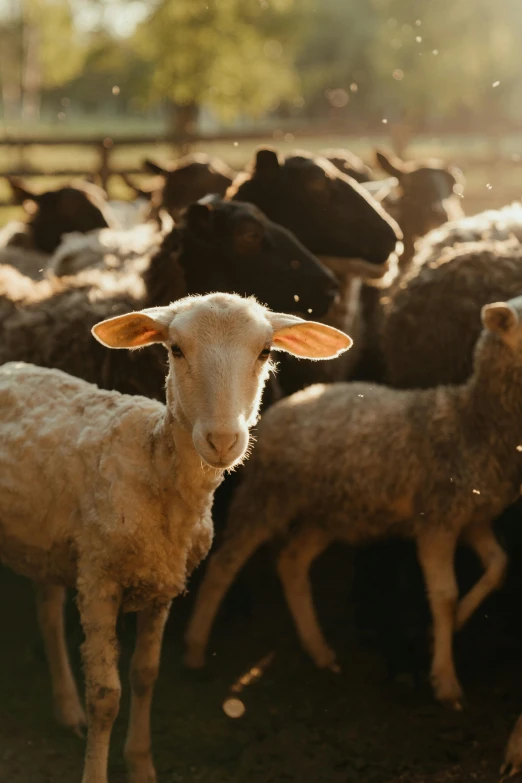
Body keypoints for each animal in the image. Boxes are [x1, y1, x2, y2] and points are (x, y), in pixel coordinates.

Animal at [0, 294, 352, 783]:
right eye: (176, 349)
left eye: (265, 352)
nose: (222, 440)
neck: (155, 464)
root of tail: (9, 367)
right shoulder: (99, 582)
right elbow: (106, 696)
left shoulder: (161, 585)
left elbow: (145, 676)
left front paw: (141, 763)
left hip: (48, 544)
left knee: (48, 615)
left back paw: (67, 709)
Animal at [182, 296, 522, 712]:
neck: (475, 422)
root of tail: (286, 403)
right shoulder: (437, 520)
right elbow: (444, 596)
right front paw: (445, 679)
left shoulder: (474, 518)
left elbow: (499, 567)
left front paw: (456, 623)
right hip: (266, 497)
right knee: (224, 566)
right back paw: (196, 648)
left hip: (329, 513)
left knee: (292, 562)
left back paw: (319, 650)